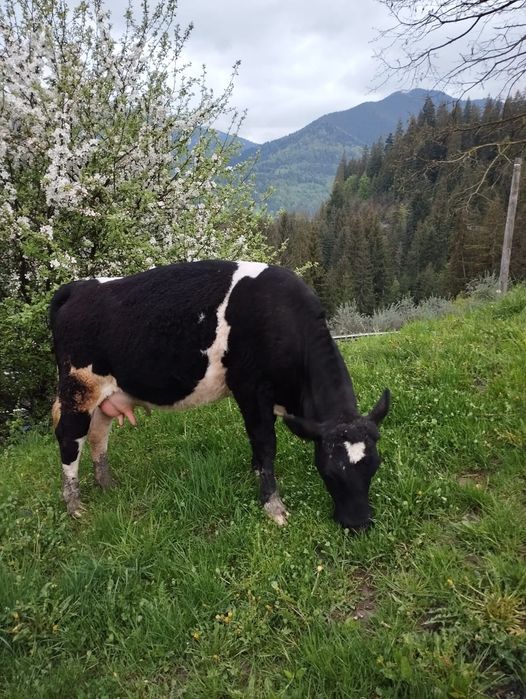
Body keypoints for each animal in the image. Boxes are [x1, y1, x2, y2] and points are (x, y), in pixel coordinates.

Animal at [50, 260, 390, 530]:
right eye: (329, 471)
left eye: (374, 466)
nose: (359, 523)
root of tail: (78, 287)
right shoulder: (251, 388)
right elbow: (265, 443)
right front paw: (273, 505)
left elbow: (259, 445)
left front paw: (258, 476)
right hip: (78, 388)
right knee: (70, 438)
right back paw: (74, 505)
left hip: (106, 395)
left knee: (98, 435)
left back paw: (107, 484)